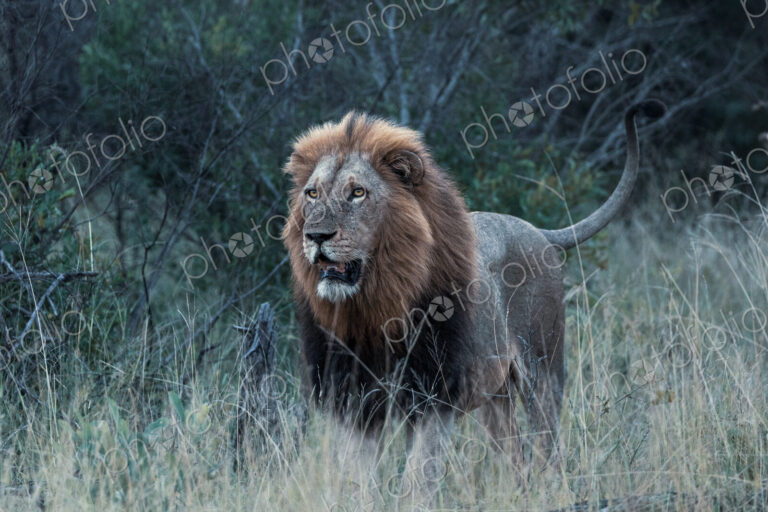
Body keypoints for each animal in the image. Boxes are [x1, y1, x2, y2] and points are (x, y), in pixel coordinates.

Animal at [282, 100, 665, 467]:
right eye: (312, 194)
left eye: (358, 193)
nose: (315, 236)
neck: (374, 307)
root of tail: (537, 230)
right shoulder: (354, 407)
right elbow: (358, 480)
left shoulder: (432, 401)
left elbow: (417, 478)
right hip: (497, 394)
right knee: (516, 459)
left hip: (543, 372)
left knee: (548, 450)